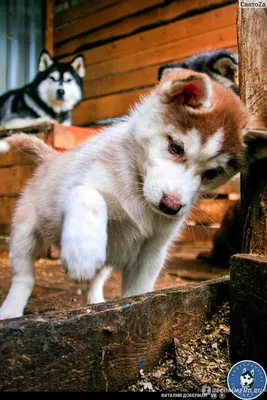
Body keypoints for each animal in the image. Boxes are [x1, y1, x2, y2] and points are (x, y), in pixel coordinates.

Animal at [0, 69, 267, 318]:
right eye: (176, 147)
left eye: (213, 173)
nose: (171, 206)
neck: (138, 190)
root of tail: (51, 158)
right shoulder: (70, 189)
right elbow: (89, 196)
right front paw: (82, 252)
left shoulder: (151, 252)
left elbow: (138, 293)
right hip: (24, 232)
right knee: (24, 276)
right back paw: (11, 309)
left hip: (108, 255)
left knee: (93, 281)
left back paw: (96, 302)